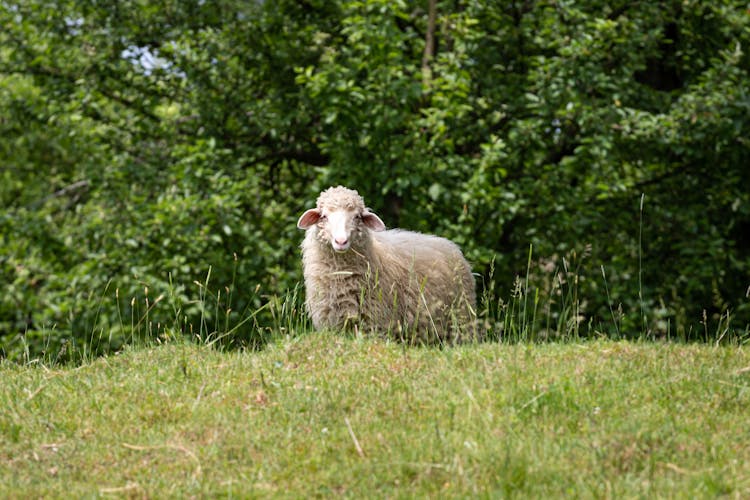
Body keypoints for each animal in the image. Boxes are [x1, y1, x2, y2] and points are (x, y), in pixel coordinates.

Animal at [298, 185, 478, 344]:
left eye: (357, 217)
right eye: (324, 216)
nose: (341, 241)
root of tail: (452, 246)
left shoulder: (376, 325)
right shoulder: (333, 325)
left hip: (461, 319)